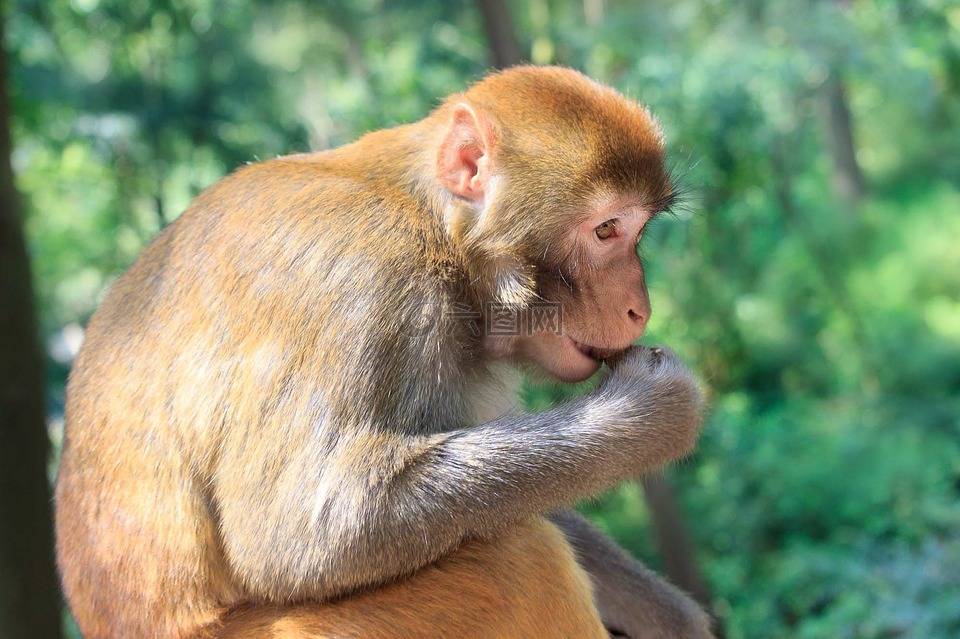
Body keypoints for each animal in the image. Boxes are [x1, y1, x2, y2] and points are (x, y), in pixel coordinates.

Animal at [52, 66, 712, 639]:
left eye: (637, 231)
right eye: (606, 230)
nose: (639, 308)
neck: (438, 231)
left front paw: (665, 615)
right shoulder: (366, 282)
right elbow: (306, 534)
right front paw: (655, 412)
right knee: (521, 560)